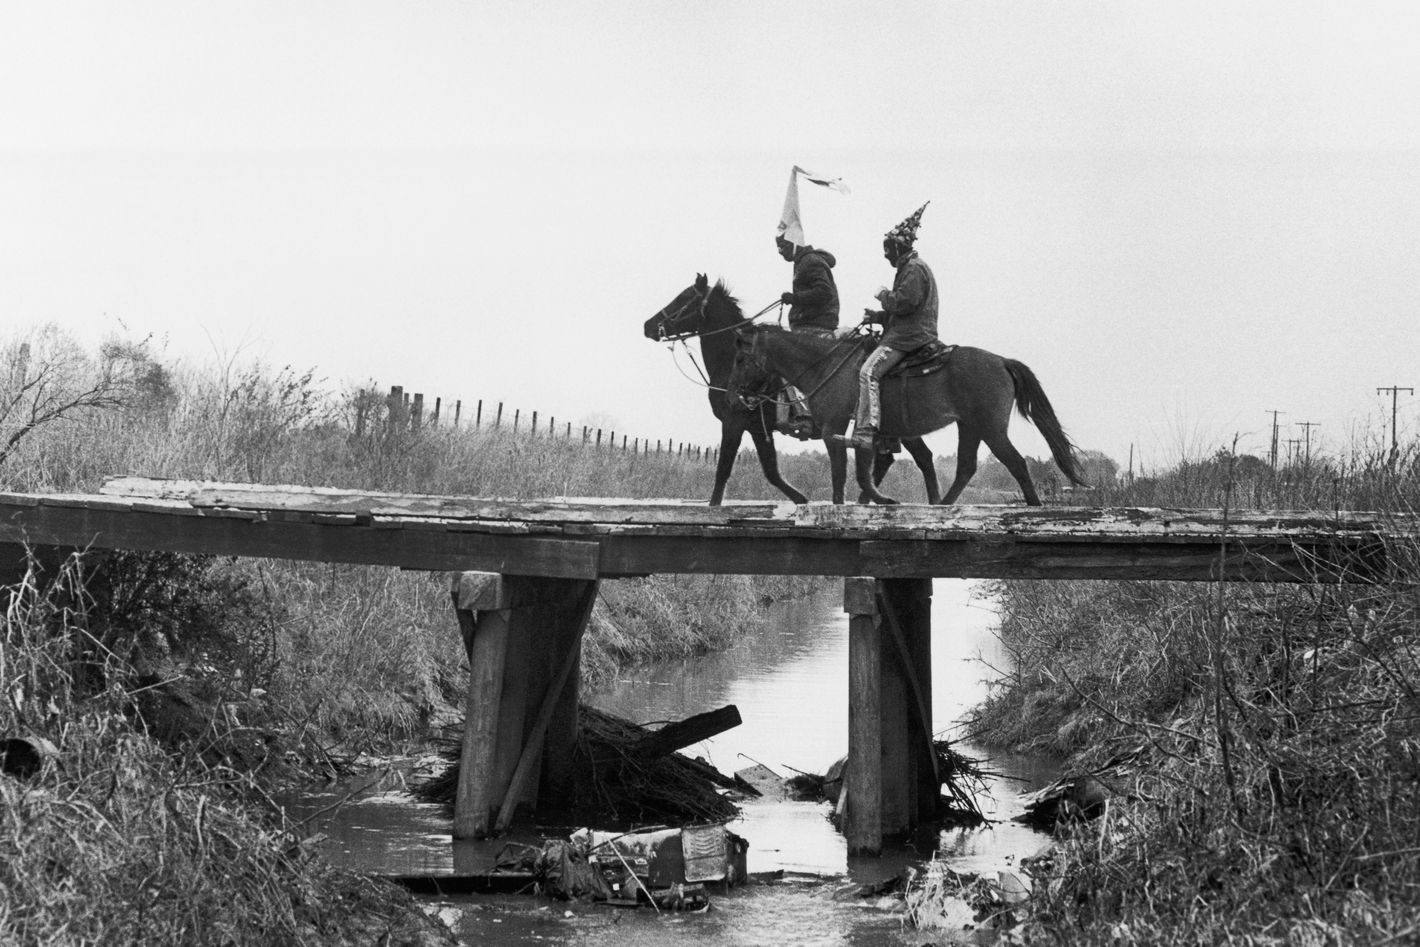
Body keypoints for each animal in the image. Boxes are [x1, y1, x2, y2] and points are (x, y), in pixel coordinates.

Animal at [647, 274, 942, 508]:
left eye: (683, 298)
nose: (648, 326)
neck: (733, 360)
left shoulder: (734, 422)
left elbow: (724, 469)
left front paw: (714, 505)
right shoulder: (758, 428)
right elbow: (771, 470)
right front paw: (801, 499)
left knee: (921, 457)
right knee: (892, 459)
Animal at [732, 323, 1084, 508]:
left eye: (741, 359)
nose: (738, 394)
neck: (826, 365)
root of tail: (1002, 361)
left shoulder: (834, 427)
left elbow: (840, 473)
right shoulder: (861, 431)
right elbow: (862, 469)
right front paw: (877, 499)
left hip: (990, 428)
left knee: (1016, 462)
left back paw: (1033, 506)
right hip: (969, 426)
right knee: (966, 467)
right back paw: (941, 506)